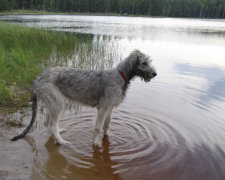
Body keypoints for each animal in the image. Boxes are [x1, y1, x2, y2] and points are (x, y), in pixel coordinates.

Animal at [11, 49, 157, 146]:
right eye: (144, 63)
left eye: (149, 61)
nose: (155, 74)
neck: (120, 76)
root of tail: (37, 79)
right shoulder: (103, 108)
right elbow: (98, 128)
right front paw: (96, 145)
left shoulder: (110, 108)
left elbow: (107, 126)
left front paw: (107, 137)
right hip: (57, 102)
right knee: (51, 124)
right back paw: (62, 141)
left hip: (52, 103)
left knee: (48, 123)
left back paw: (59, 132)